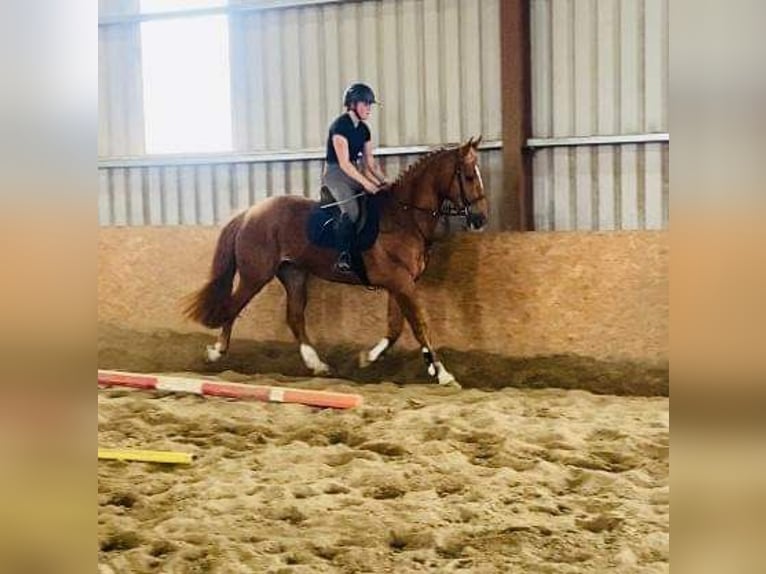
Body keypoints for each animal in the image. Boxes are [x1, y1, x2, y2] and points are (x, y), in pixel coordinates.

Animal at [183, 137, 488, 390]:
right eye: (469, 176)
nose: (480, 219)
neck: (405, 217)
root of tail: (249, 213)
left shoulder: (400, 283)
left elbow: (395, 328)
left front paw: (368, 358)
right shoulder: (400, 283)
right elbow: (419, 325)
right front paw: (443, 374)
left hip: (293, 273)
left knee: (294, 317)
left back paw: (317, 364)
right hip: (255, 275)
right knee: (233, 307)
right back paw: (215, 352)